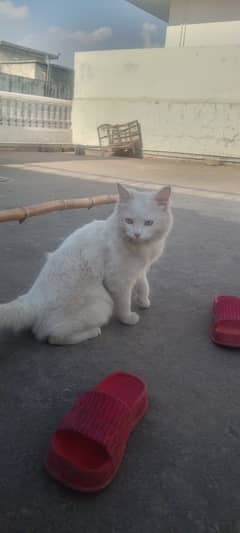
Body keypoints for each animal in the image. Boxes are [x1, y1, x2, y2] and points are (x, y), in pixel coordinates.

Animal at [0, 183, 173, 344]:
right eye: (129, 221)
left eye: (149, 223)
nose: (137, 234)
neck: (142, 247)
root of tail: (32, 300)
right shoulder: (119, 281)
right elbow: (124, 303)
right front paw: (128, 318)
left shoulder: (139, 270)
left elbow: (144, 285)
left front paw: (144, 301)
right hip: (102, 303)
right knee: (54, 337)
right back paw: (93, 332)